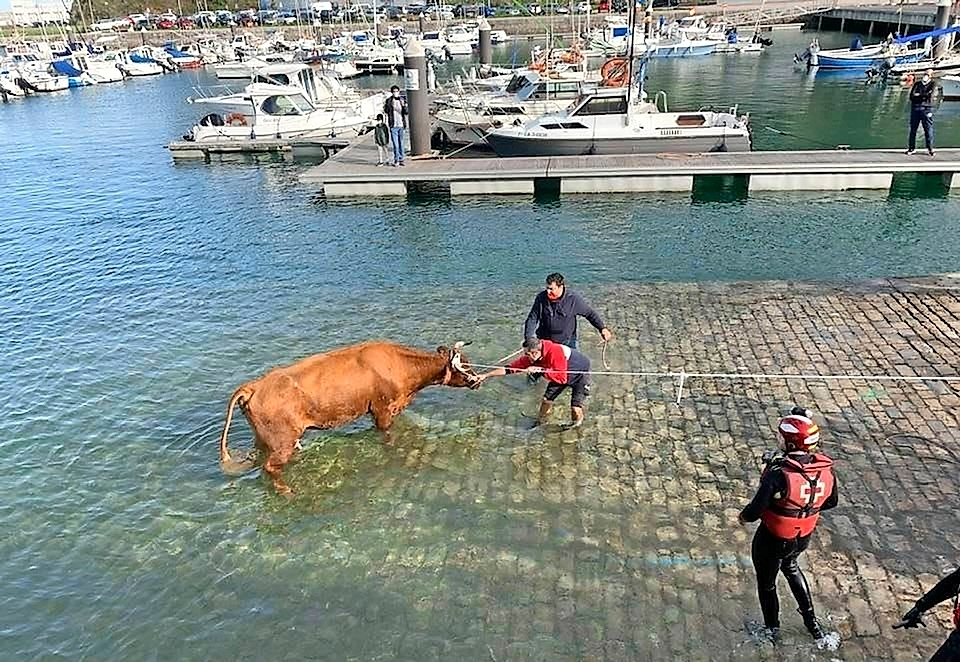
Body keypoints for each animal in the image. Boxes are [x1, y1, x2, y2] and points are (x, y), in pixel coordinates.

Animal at [218, 340, 481, 495]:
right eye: (465, 365)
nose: (477, 380)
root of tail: (254, 386)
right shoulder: (382, 411)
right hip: (282, 442)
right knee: (270, 468)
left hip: (264, 439)